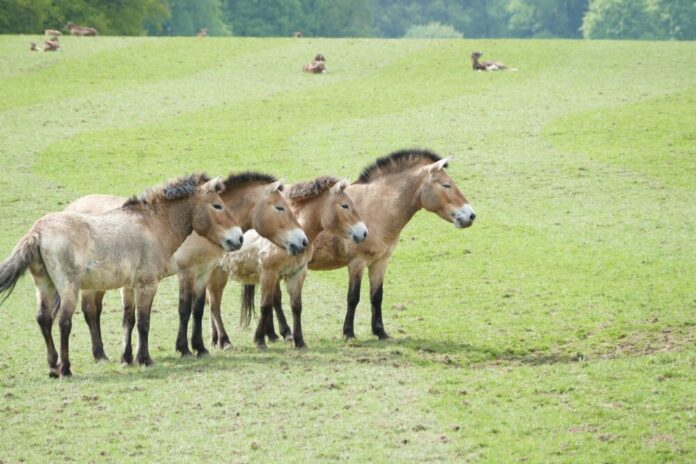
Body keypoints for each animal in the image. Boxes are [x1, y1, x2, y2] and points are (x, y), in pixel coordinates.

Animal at [0, 174, 242, 377]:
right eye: (217, 205)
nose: (238, 238)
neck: (152, 225)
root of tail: (38, 231)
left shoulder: (132, 285)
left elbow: (130, 320)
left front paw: (129, 358)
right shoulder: (148, 284)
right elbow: (144, 322)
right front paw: (145, 359)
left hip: (45, 286)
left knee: (44, 319)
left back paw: (52, 366)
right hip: (69, 288)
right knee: (64, 322)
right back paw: (66, 368)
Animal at [65, 172, 307, 360]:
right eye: (280, 208)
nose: (302, 241)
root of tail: (71, 207)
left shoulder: (204, 271)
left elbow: (198, 309)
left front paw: (200, 347)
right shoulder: (187, 272)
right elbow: (184, 309)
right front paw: (183, 348)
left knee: (96, 311)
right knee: (90, 311)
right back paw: (100, 355)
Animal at [208, 177, 368, 350]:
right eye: (345, 205)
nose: (364, 233)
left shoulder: (296, 273)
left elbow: (296, 307)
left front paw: (299, 341)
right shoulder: (269, 273)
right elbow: (266, 306)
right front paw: (260, 340)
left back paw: (215, 339)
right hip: (216, 273)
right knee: (214, 305)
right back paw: (225, 341)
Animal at [255, 149, 476, 341]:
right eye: (446, 185)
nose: (471, 215)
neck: (377, 207)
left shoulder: (380, 262)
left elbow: (377, 296)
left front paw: (380, 332)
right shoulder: (357, 263)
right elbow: (353, 298)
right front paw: (348, 332)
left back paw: (273, 334)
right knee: (274, 298)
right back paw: (283, 333)